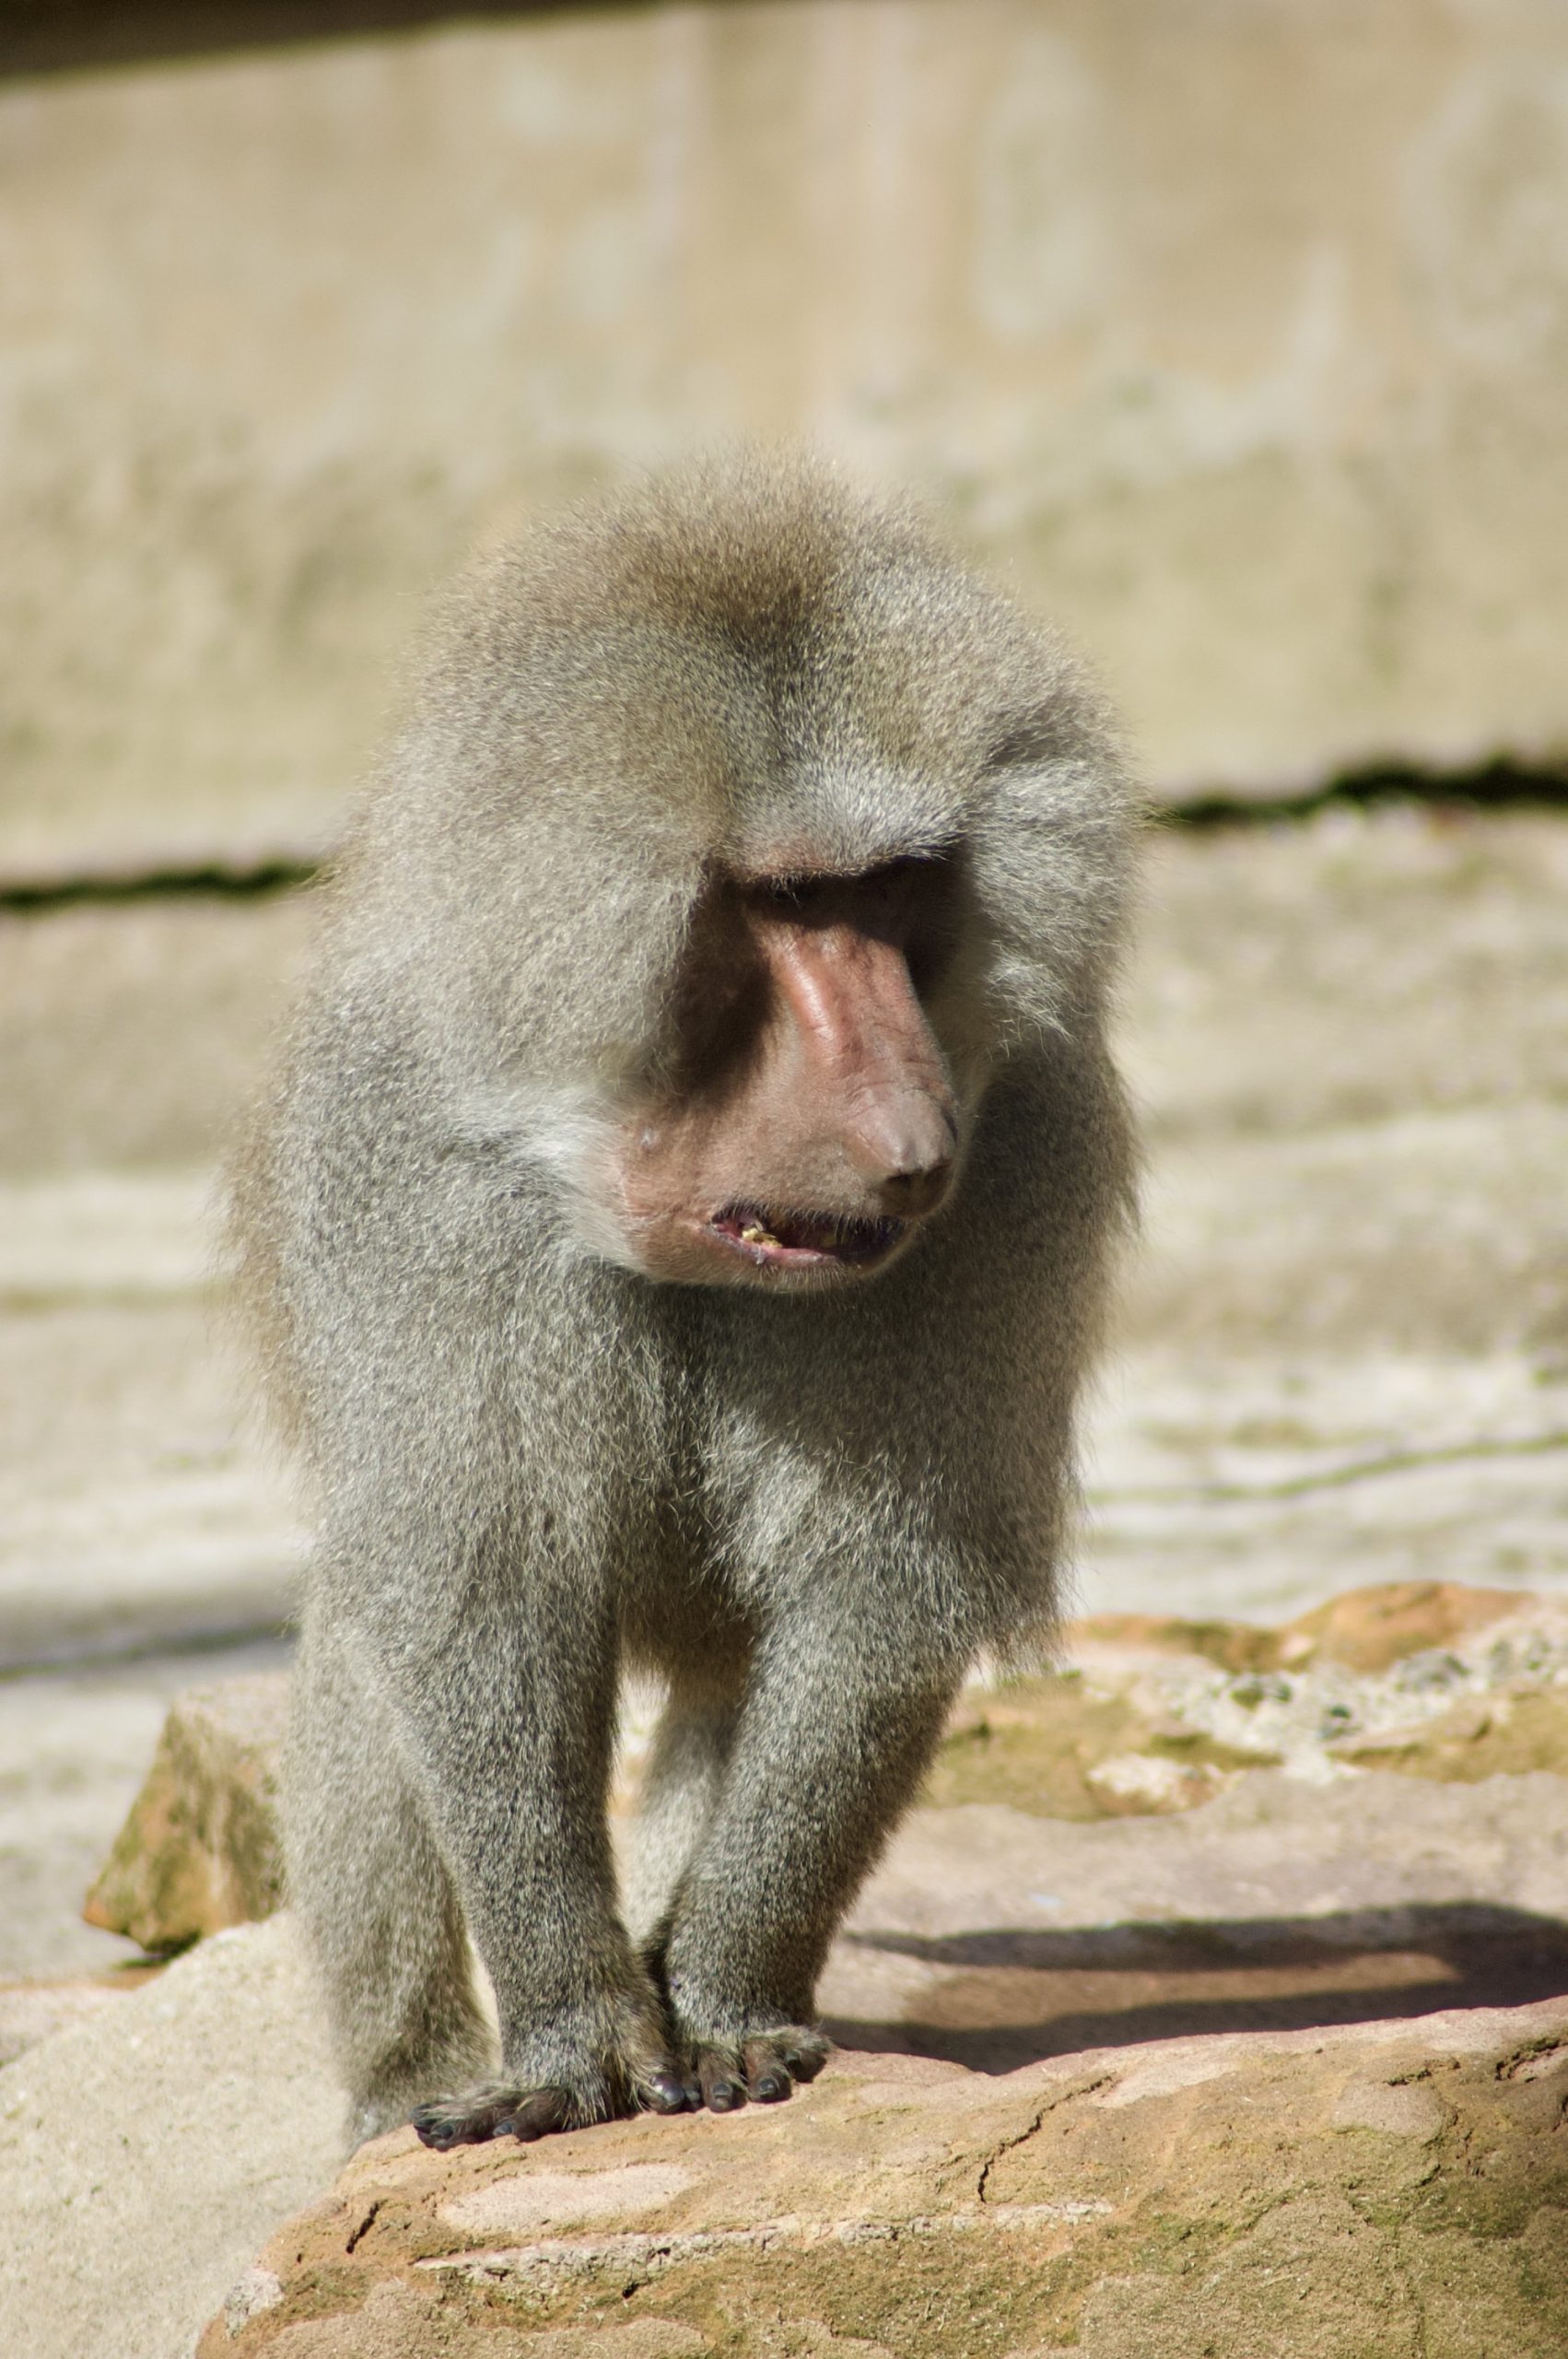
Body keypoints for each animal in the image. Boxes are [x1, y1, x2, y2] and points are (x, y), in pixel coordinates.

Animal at [228, 450, 1137, 2152]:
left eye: (894, 894)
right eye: (777, 908)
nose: (913, 1145)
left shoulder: (1015, 1170)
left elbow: (875, 1592)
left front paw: (717, 1997)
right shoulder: (423, 1178)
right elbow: (479, 1590)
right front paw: (573, 2033)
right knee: (367, 1645)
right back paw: (411, 2087)